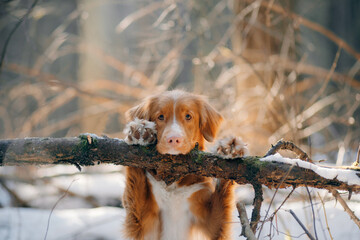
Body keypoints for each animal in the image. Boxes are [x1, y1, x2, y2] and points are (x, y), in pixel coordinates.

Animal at [122, 90, 246, 240]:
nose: (174, 139)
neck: (174, 178)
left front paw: (230, 149)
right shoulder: (142, 224)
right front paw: (139, 133)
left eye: (188, 116)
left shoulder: (211, 225)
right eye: (160, 116)